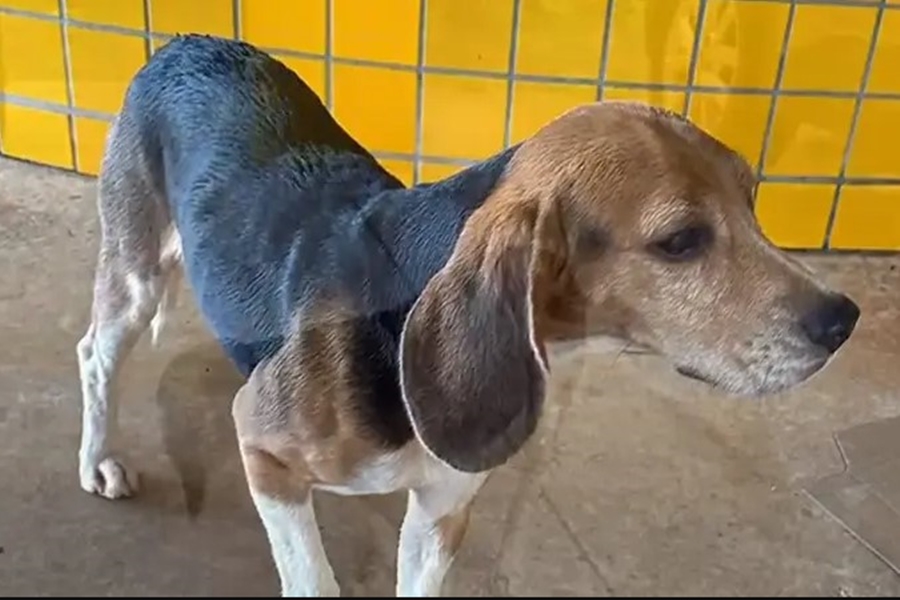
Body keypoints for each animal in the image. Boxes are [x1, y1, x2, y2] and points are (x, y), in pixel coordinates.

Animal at [74, 35, 860, 596]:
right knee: (95, 356)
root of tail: (186, 42)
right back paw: (99, 461)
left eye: (752, 201)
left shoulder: (442, 510)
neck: (398, 328)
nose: (842, 320)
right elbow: (316, 579)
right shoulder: (265, 455)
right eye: (680, 241)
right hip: (135, 274)